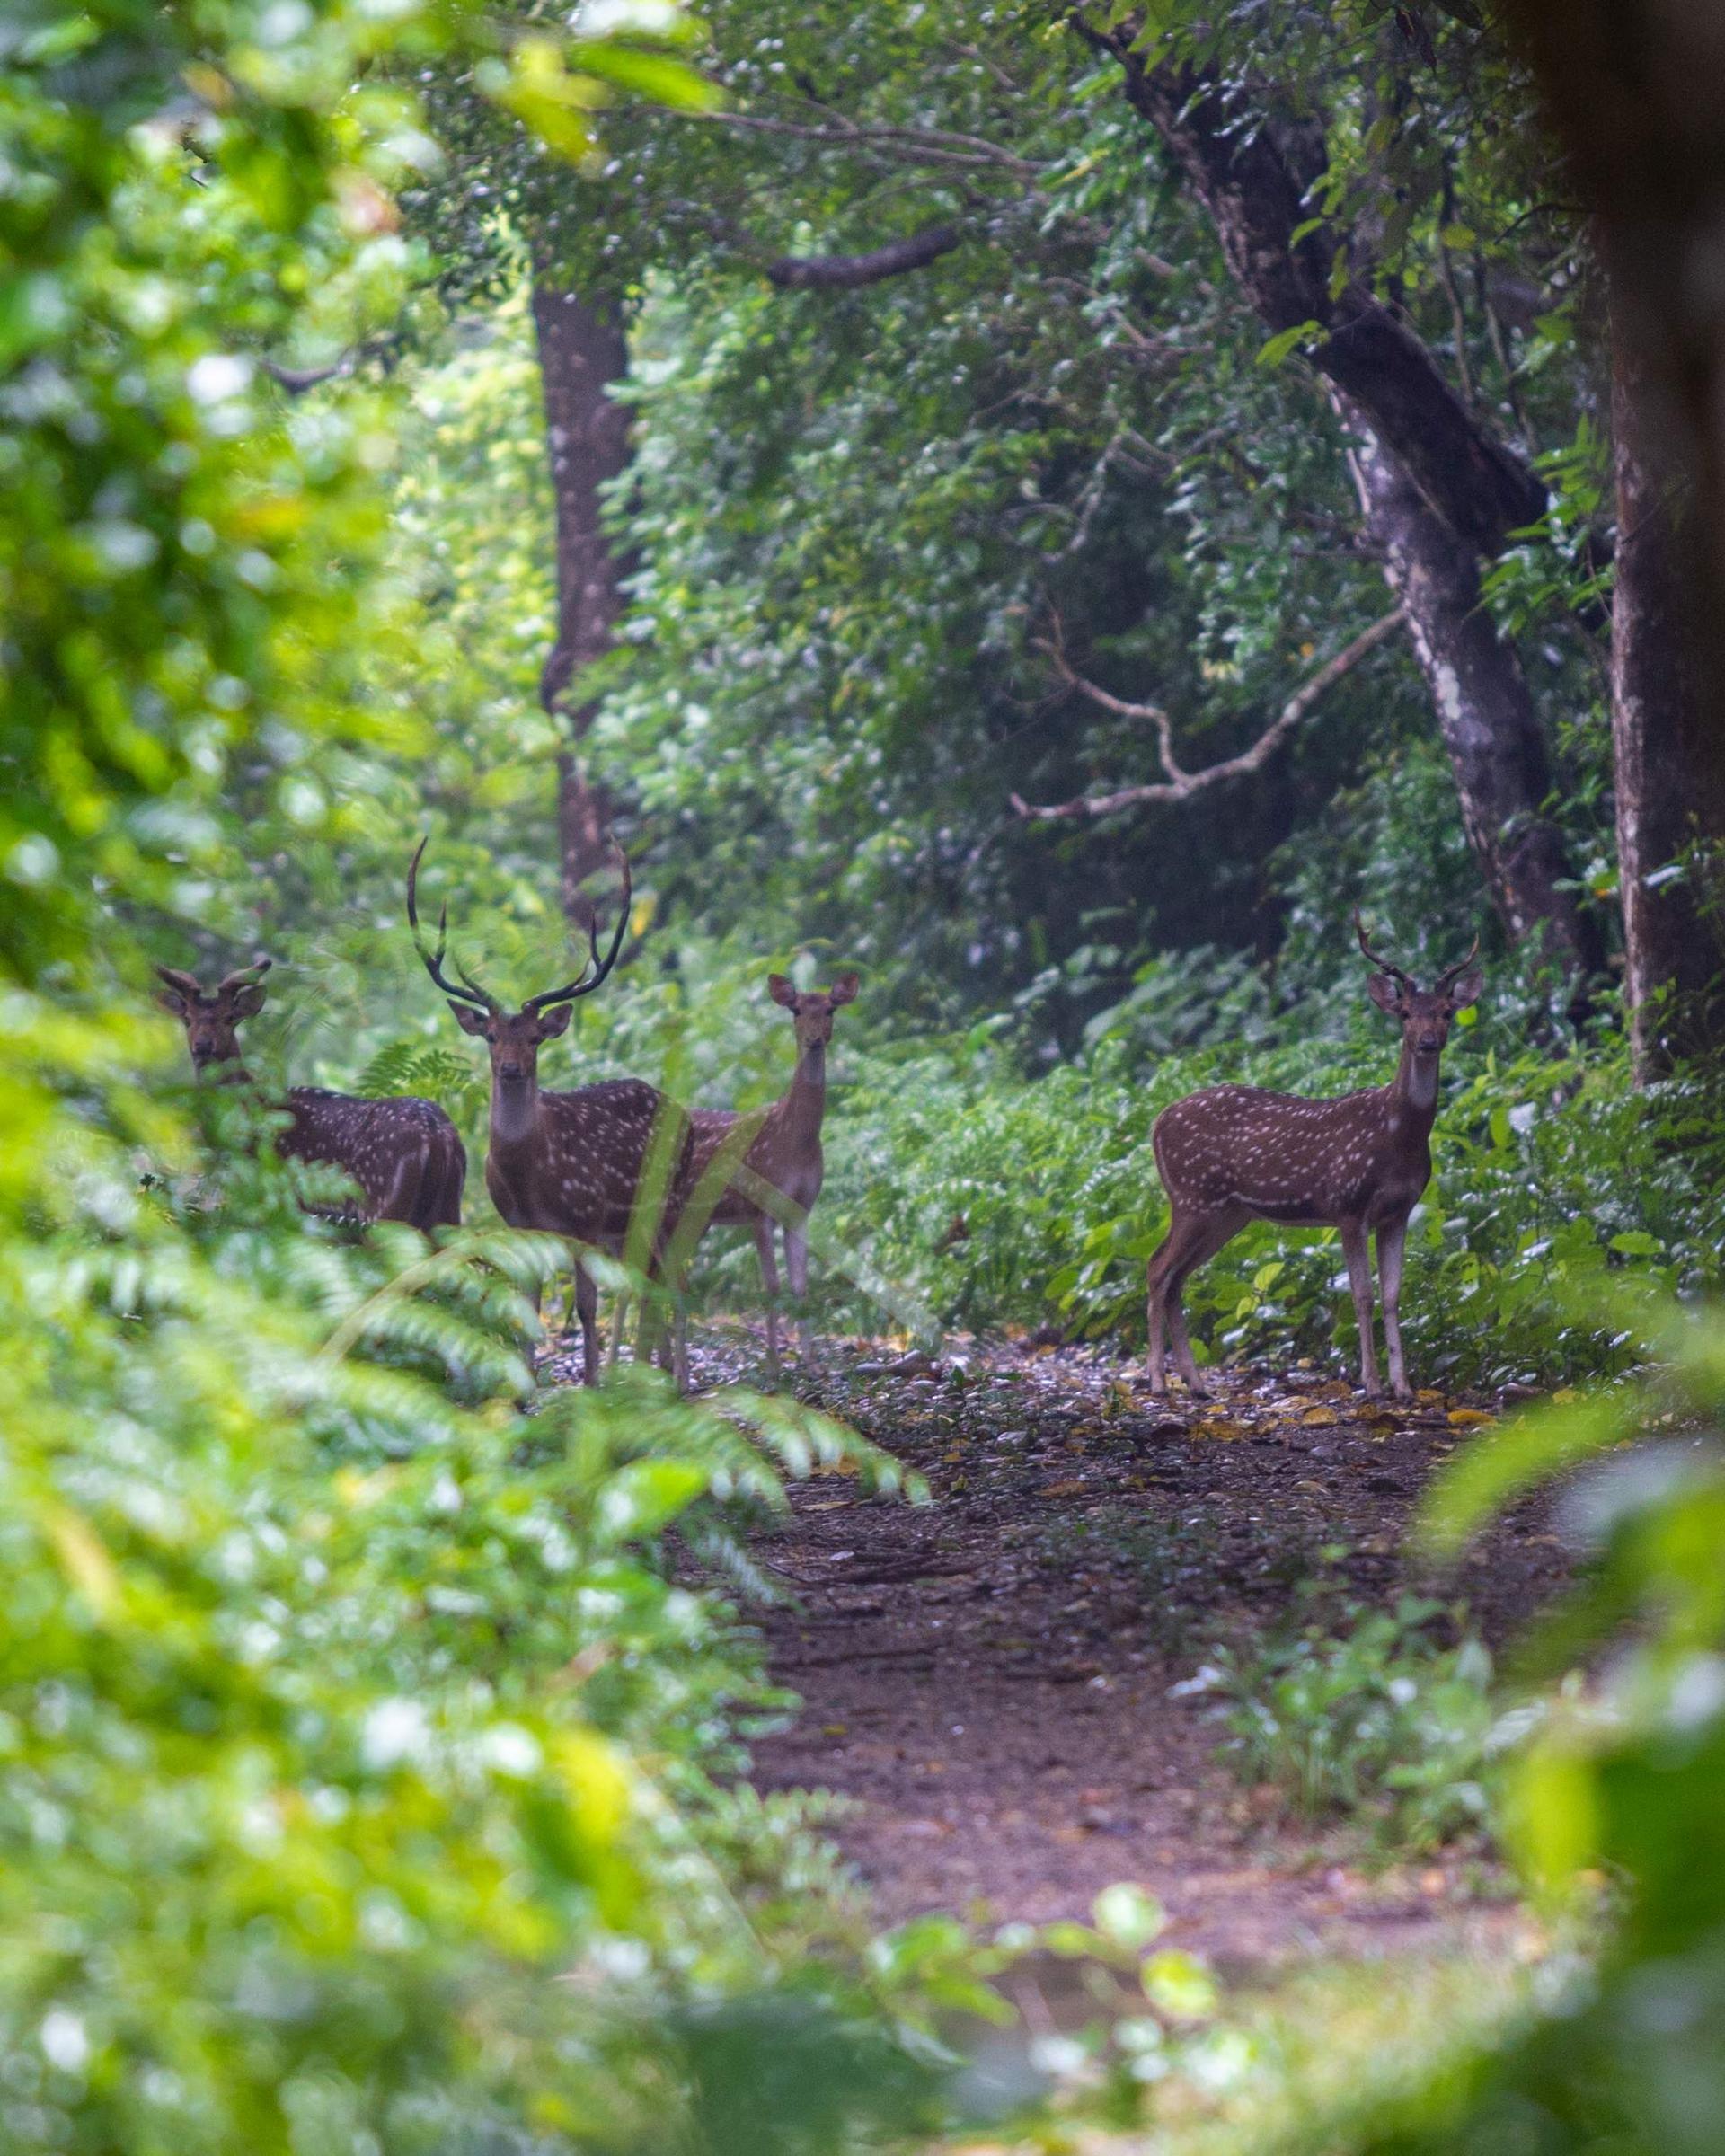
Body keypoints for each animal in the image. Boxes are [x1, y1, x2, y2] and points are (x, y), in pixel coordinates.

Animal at [154, 961, 461, 1233]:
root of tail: (437, 1136)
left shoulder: (283, 1199)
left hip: (383, 1205)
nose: (203, 1046)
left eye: (229, 1017)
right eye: (187, 1019)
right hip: (448, 1210)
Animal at [405, 836, 694, 1380]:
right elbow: (529, 1305)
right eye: (492, 1036)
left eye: (536, 1037)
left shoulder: (584, 1219)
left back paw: (681, 1380)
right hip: (630, 1224)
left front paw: (593, 1383)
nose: (511, 1068)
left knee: (676, 1281)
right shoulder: (520, 1226)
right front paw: (526, 1386)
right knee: (649, 1284)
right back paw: (656, 1371)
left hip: (669, 1201)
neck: (532, 1173)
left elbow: (586, 1305)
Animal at [681, 974, 854, 1362]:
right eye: (796, 1009)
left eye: (831, 1009)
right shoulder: (759, 1206)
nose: (814, 1038)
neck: (793, 1141)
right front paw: (774, 1366)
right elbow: (772, 1286)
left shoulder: (801, 1209)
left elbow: (801, 1286)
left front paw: (811, 1366)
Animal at [1146, 918, 1483, 1405]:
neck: (1396, 1137)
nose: (1427, 1042)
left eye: (1446, 1012)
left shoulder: (1399, 1211)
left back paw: (1196, 1383)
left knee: (1176, 1278)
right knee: (1157, 1269)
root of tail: (1157, 1123)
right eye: (1404, 1013)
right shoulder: (1347, 1204)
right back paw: (1157, 1380)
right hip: (1194, 1198)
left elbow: (1393, 1294)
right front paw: (1372, 1384)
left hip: (1227, 1214)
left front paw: (1404, 1387)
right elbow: (1361, 1295)